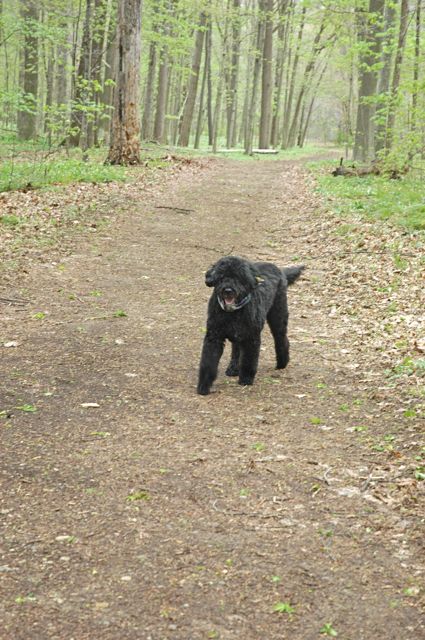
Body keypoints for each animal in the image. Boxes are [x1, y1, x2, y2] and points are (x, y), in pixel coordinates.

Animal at [197, 255, 304, 396]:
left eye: (239, 277)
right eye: (222, 276)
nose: (228, 290)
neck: (232, 313)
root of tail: (279, 269)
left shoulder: (251, 338)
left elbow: (249, 359)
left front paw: (246, 379)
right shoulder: (214, 337)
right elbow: (208, 362)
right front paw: (204, 385)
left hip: (278, 318)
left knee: (281, 339)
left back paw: (282, 362)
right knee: (236, 348)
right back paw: (233, 368)